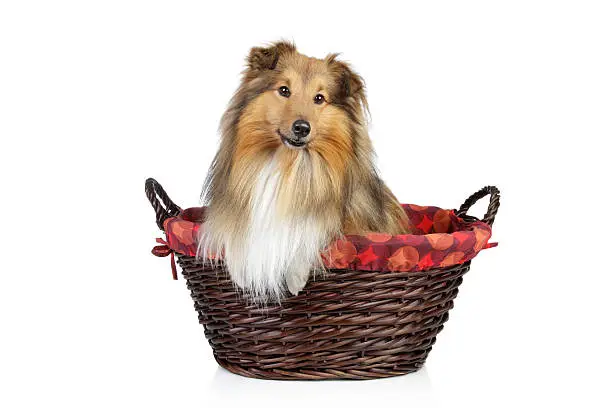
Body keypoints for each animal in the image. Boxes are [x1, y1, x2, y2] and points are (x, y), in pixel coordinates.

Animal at [201, 43, 412, 302]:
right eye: (284, 90)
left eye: (319, 98)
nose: (301, 128)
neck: (289, 164)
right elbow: (232, 234)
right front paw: (239, 272)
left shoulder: (347, 223)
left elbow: (312, 233)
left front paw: (295, 276)